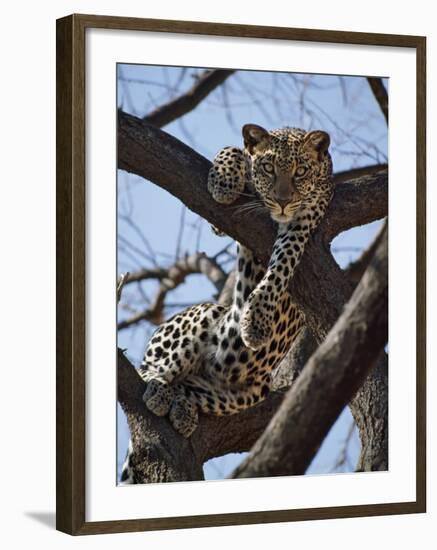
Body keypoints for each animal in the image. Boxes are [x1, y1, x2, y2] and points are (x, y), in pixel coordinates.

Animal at [118, 124, 330, 484]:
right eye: (268, 168)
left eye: (301, 171)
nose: (283, 201)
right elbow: (232, 150)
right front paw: (224, 181)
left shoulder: (305, 217)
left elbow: (282, 263)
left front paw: (257, 321)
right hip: (203, 315)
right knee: (151, 369)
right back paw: (159, 389)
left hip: (248, 391)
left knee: (190, 387)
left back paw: (181, 407)